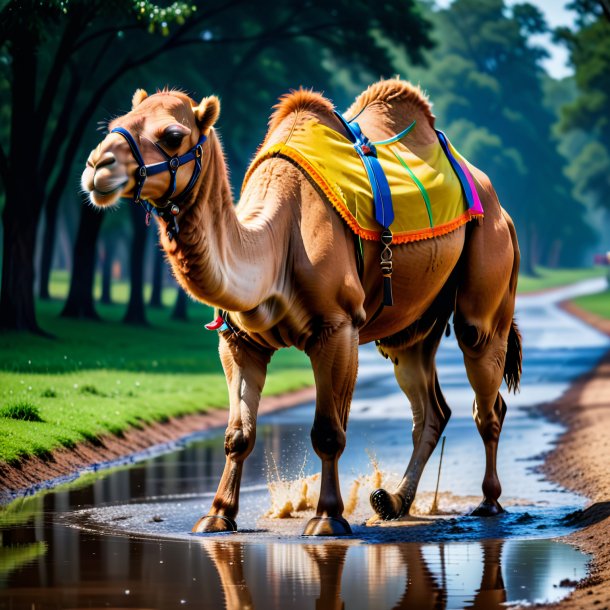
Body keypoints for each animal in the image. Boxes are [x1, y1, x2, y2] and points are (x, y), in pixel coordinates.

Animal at [81, 78, 520, 536]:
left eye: (172, 135)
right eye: (115, 123)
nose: (97, 165)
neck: (277, 239)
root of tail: (494, 200)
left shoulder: (338, 329)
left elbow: (328, 431)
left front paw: (327, 518)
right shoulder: (238, 341)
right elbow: (238, 434)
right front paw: (217, 514)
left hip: (489, 262)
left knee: (484, 383)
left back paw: (488, 502)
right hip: (412, 326)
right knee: (430, 407)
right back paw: (392, 502)